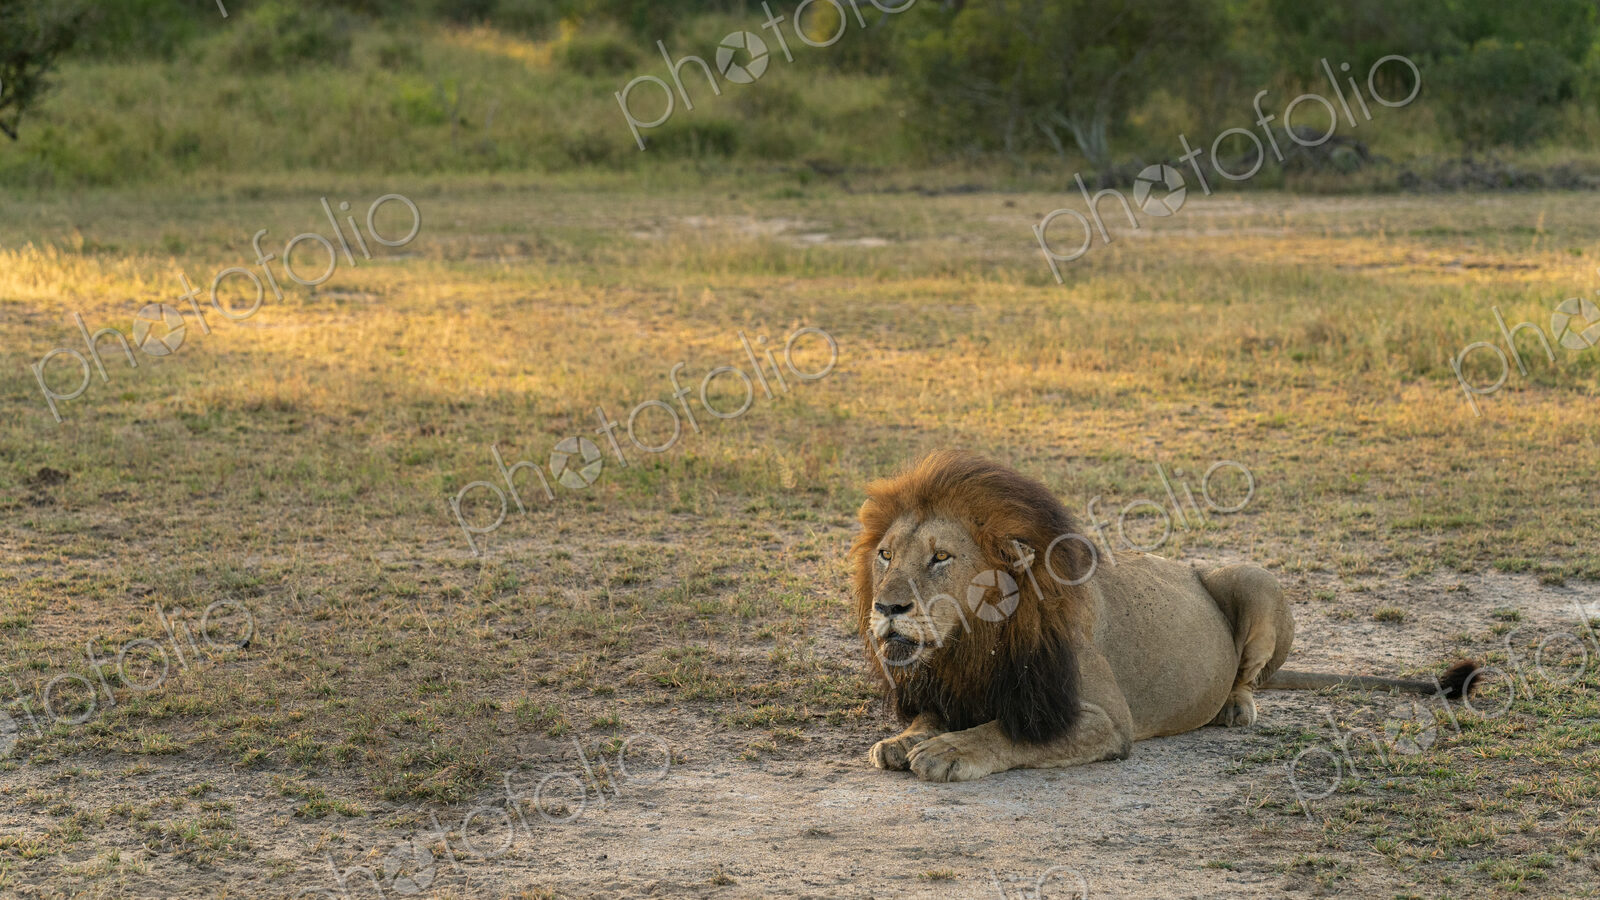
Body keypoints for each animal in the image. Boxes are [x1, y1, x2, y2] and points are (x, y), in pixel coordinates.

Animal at [852, 451, 1480, 782]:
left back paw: (1234, 707)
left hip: (1250, 577)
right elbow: (930, 718)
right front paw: (904, 739)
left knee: (1251, 677)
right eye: (885, 555)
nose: (887, 606)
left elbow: (1006, 731)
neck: (972, 642)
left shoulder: (1106, 720)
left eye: (941, 558)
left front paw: (947, 751)